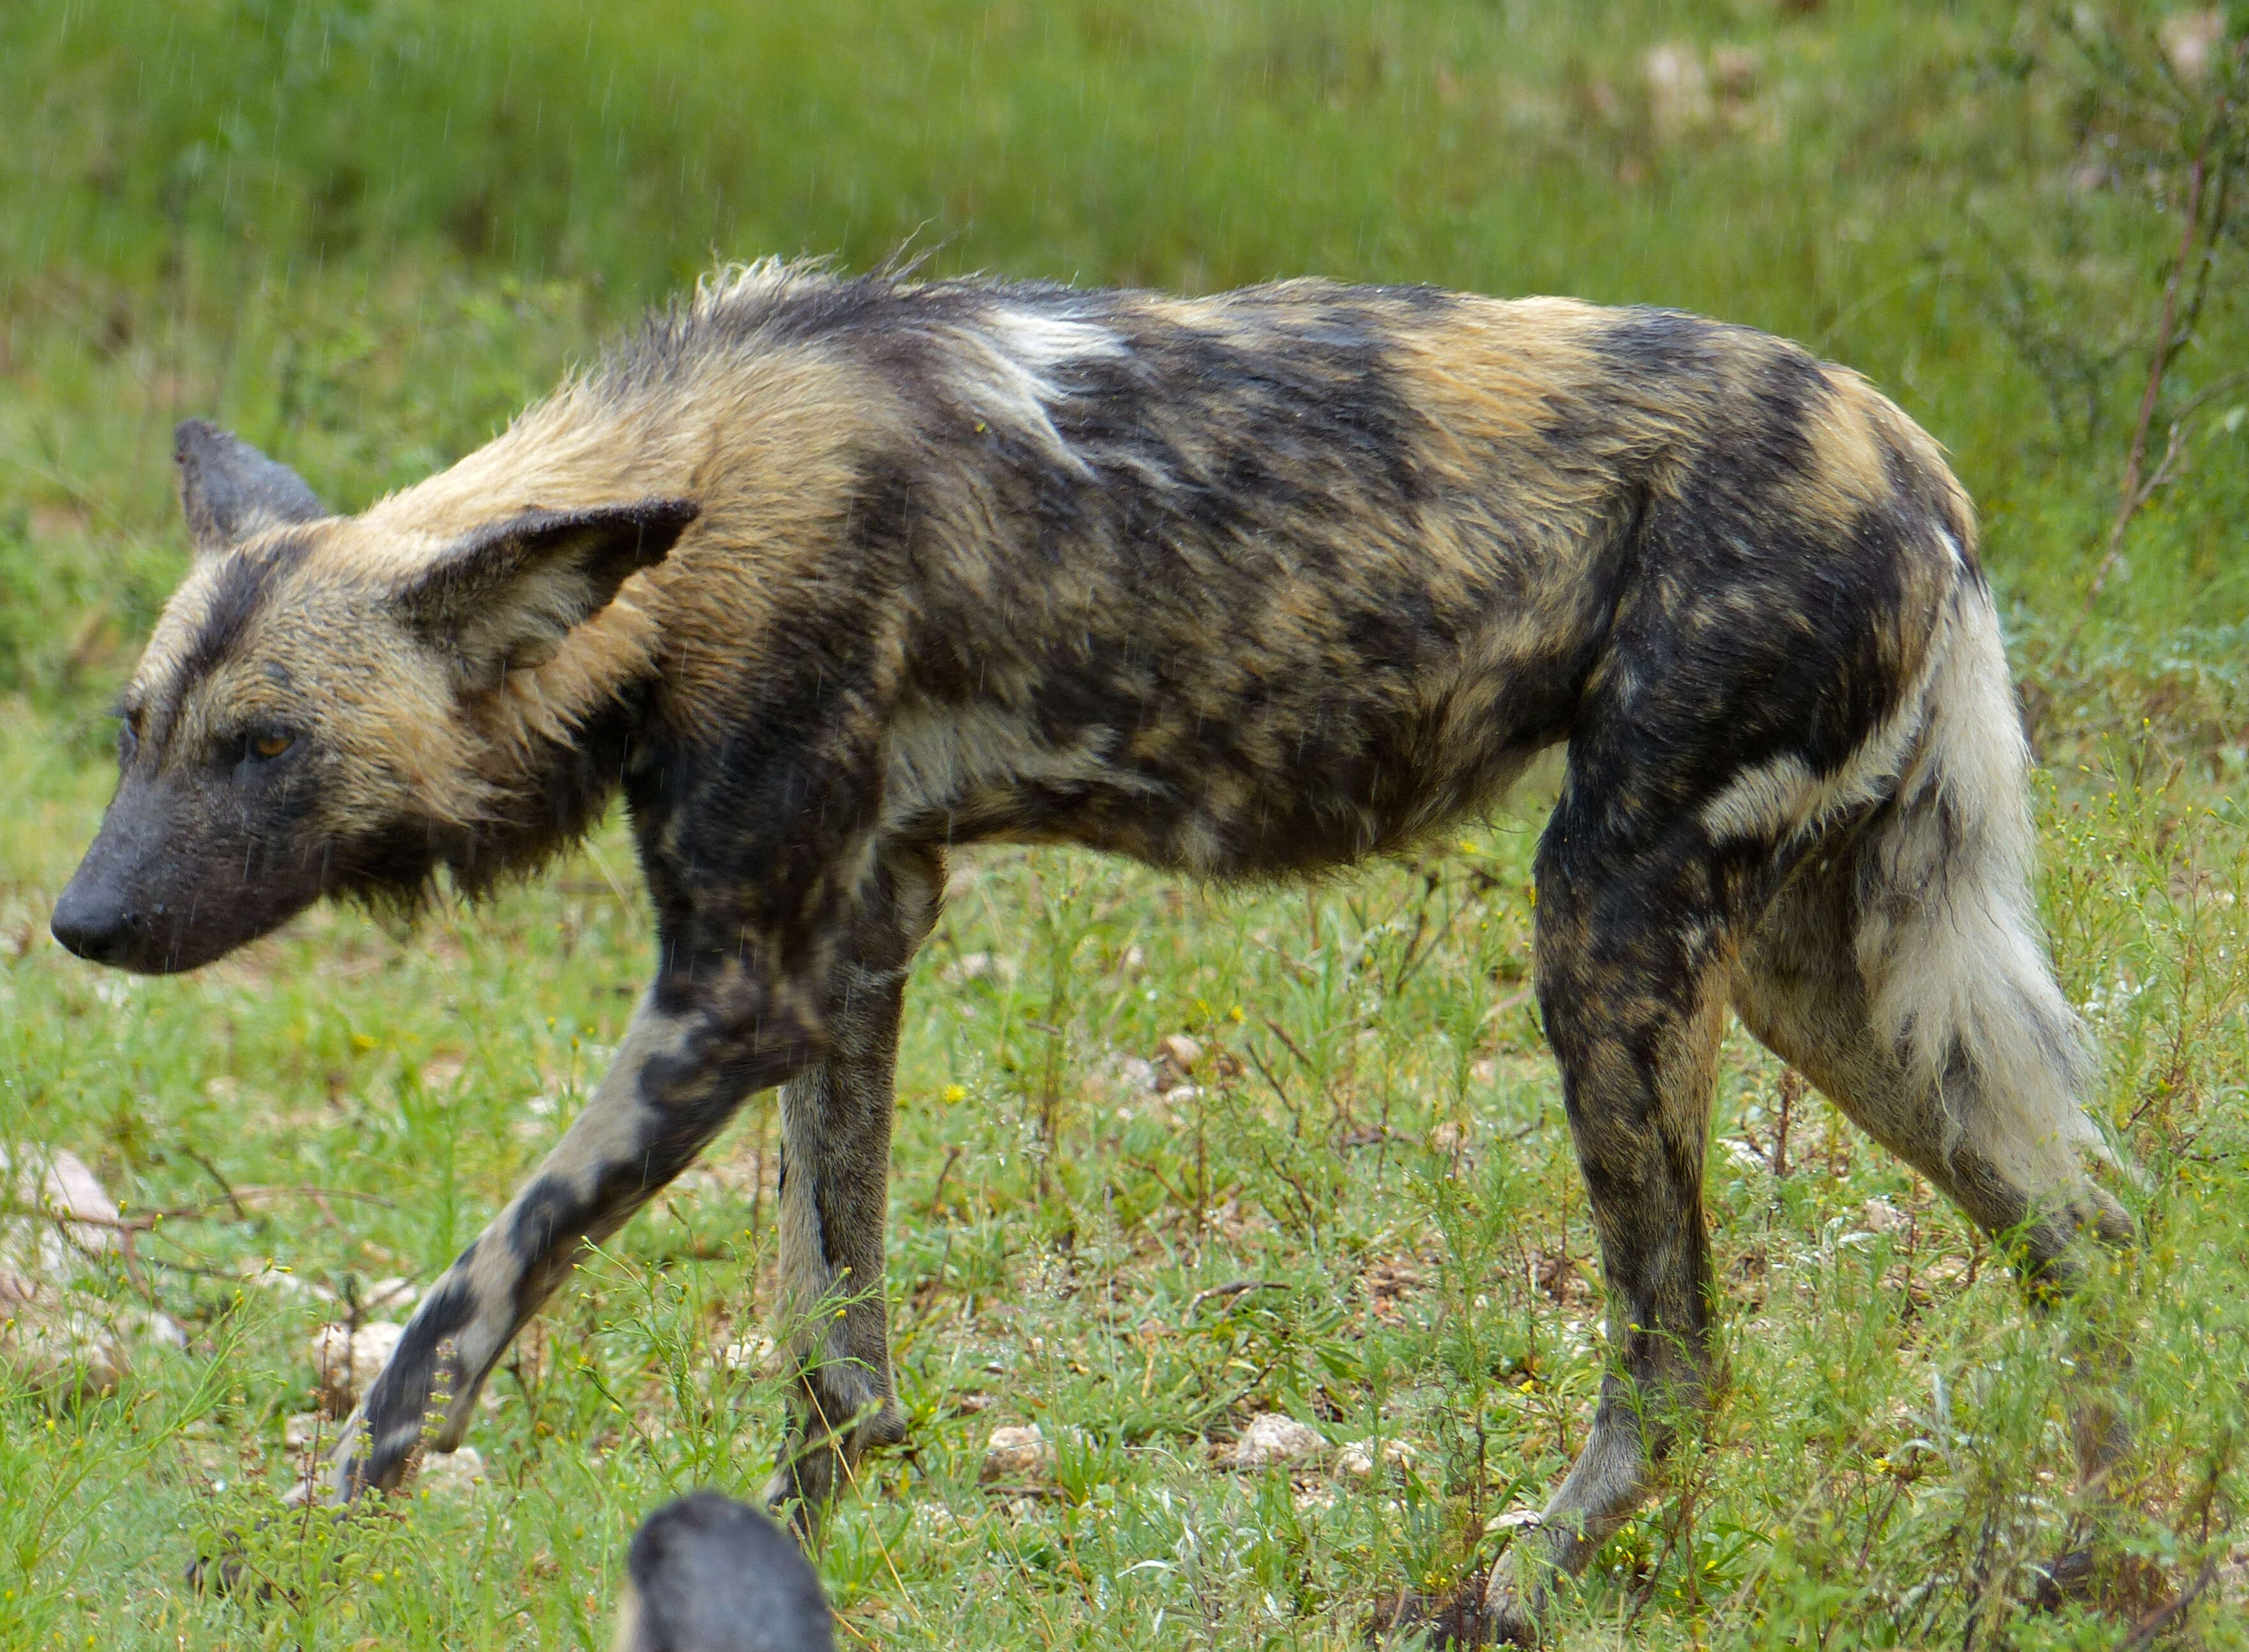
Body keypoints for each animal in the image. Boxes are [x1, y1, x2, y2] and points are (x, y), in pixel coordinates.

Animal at [52, 262, 2123, 1647]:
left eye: (266, 749)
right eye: (138, 730)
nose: (80, 923)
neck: (691, 499)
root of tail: (1919, 472)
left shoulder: (730, 996)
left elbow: (456, 1310)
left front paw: (319, 1544)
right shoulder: (852, 948)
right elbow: (835, 1343)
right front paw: (799, 1548)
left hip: (1605, 924)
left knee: (1680, 1361)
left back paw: (1508, 1590)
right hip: (1815, 986)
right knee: (2101, 1237)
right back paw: (2082, 1559)